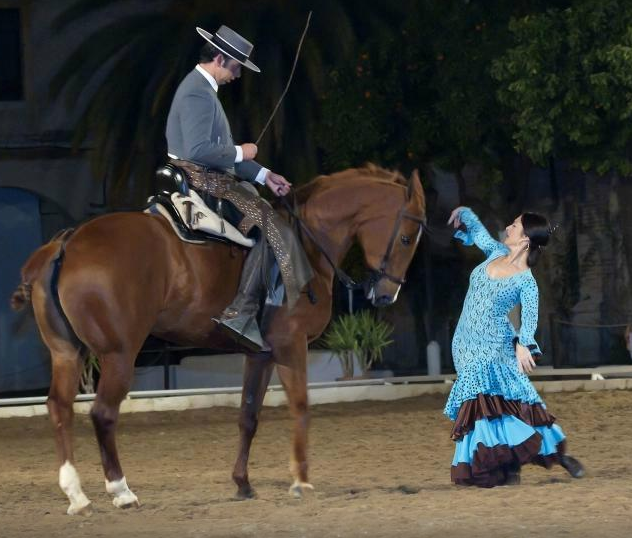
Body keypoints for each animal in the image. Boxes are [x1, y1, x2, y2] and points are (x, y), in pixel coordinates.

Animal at [11, 163, 424, 510]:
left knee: (60, 407)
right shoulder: (291, 344)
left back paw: (77, 495)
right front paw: (301, 480)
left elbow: (248, 415)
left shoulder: (259, 353)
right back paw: (121, 491)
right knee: (102, 413)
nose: (386, 295)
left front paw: (243, 483)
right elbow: (301, 406)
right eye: (406, 238)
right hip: (118, 355)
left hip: (68, 353)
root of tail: (68, 241)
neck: (305, 244)